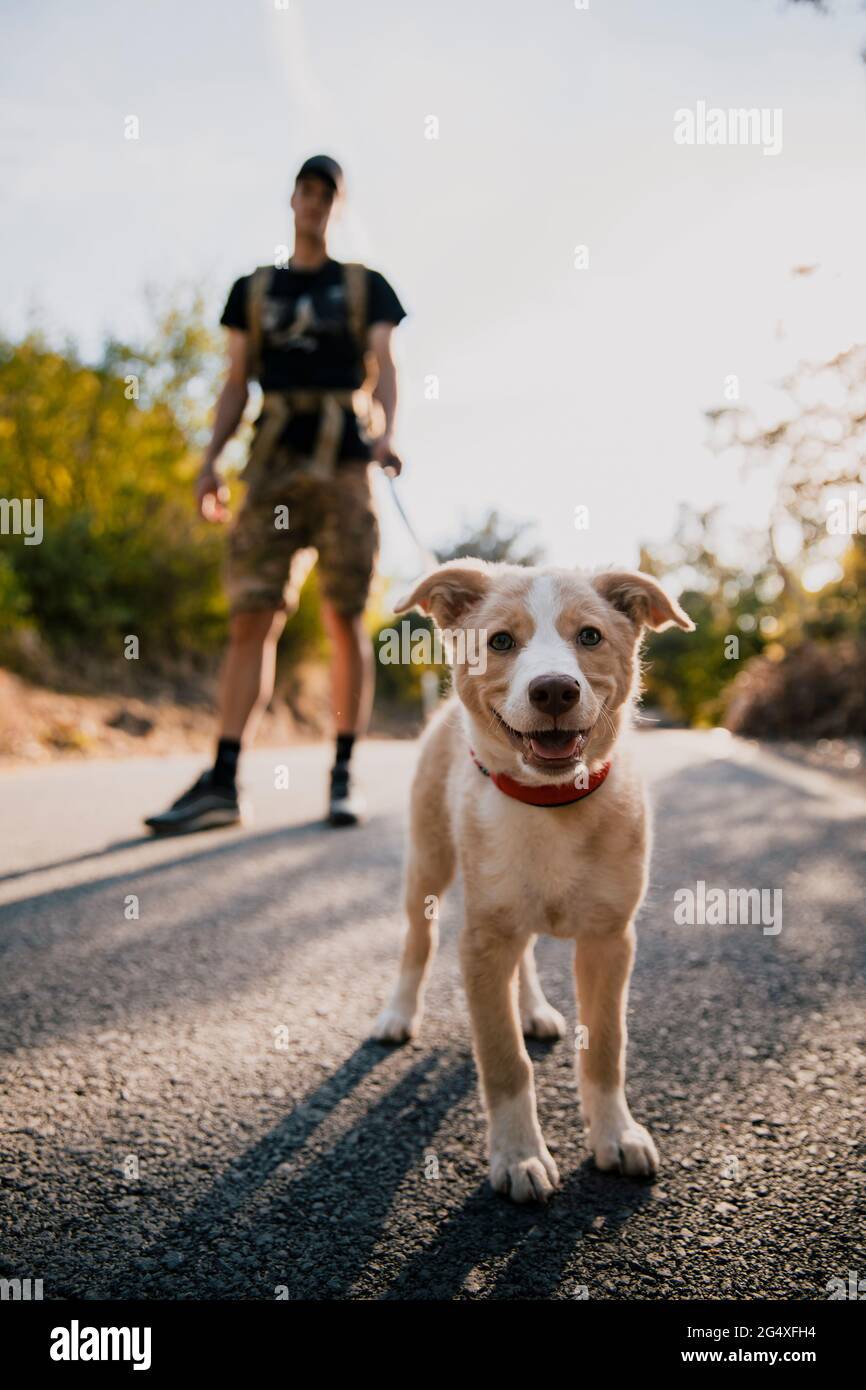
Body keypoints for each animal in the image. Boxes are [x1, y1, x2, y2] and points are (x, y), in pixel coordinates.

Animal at [369, 558, 695, 1200]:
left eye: (590, 636)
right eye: (500, 642)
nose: (554, 690)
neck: (551, 804)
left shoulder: (610, 940)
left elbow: (607, 1047)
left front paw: (616, 1135)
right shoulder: (481, 942)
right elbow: (503, 1060)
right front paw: (519, 1155)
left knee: (522, 957)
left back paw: (534, 1010)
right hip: (429, 863)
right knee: (418, 940)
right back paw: (399, 1013)